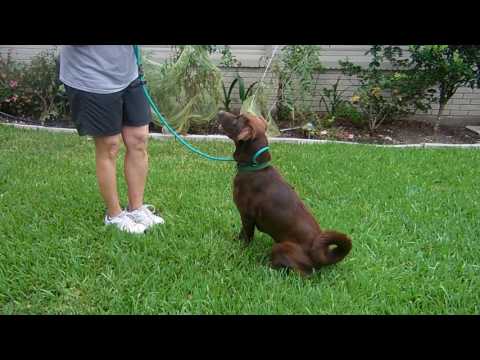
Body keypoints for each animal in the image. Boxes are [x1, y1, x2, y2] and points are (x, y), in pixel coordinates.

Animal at [219, 111, 350, 278]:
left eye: (237, 119)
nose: (220, 112)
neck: (255, 167)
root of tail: (320, 257)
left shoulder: (247, 216)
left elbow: (247, 237)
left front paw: (241, 251)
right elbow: (242, 234)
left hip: (281, 247)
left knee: (301, 274)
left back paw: (266, 268)